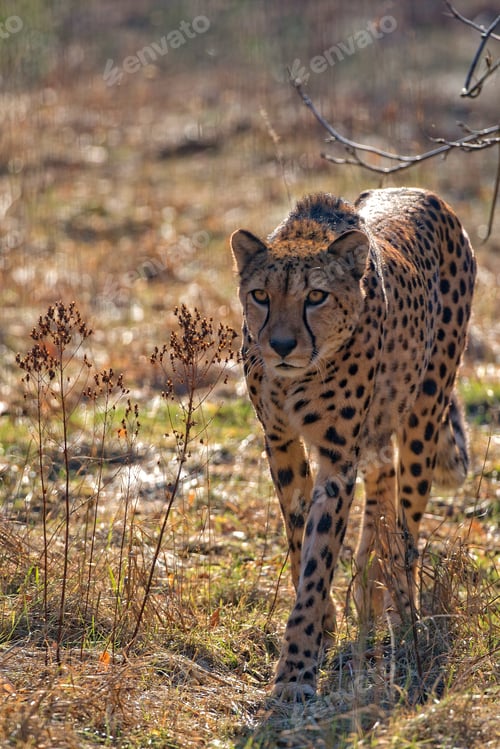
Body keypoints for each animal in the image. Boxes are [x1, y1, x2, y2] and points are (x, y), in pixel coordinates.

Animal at [230, 187, 476, 700]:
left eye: (316, 296)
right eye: (260, 295)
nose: (281, 346)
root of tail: (424, 194)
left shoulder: (338, 456)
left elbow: (320, 553)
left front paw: (296, 670)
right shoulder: (279, 440)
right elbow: (299, 537)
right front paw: (324, 624)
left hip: (424, 414)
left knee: (406, 528)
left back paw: (403, 617)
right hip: (381, 430)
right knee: (382, 489)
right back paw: (368, 591)